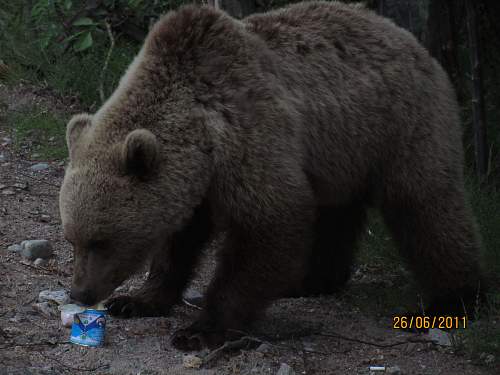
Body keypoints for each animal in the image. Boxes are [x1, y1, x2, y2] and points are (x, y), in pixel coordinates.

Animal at [59, 0, 484, 352]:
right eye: (73, 239)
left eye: (102, 241)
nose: (81, 292)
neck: (203, 139)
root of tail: (411, 40)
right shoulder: (198, 182)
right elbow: (180, 241)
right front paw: (136, 300)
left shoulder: (249, 136)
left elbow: (269, 226)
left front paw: (200, 330)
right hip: (341, 153)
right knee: (337, 213)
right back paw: (314, 279)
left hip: (402, 126)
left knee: (426, 205)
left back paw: (455, 298)